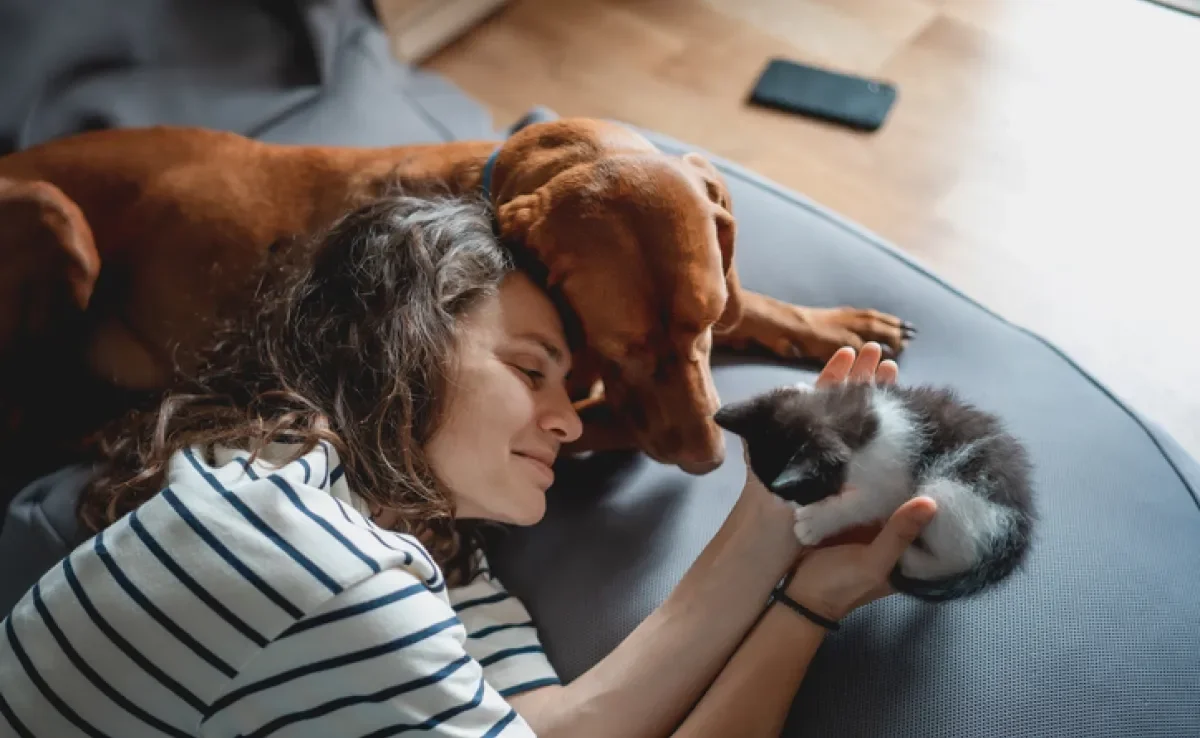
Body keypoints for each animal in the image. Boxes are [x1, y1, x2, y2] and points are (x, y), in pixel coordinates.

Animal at [0, 117, 907, 480]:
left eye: (707, 326)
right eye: (623, 347)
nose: (709, 463)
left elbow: (760, 305)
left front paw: (836, 321)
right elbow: (600, 423)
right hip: (57, 218)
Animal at [715, 381, 1036, 600]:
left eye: (801, 494)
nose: (793, 506)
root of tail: (1019, 533)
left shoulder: (891, 482)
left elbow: (865, 504)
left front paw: (815, 522)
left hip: (951, 491)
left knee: (958, 554)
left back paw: (911, 558)